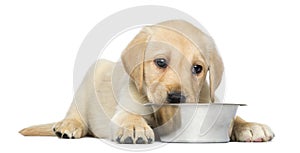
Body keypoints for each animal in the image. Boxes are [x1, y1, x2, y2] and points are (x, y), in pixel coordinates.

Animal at [19, 19, 274, 143]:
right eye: (160, 62)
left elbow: (233, 116)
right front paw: (134, 127)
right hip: (91, 76)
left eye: (198, 68)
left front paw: (249, 125)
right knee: (75, 112)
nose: (176, 98)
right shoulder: (129, 102)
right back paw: (69, 125)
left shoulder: (206, 97)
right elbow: (130, 116)